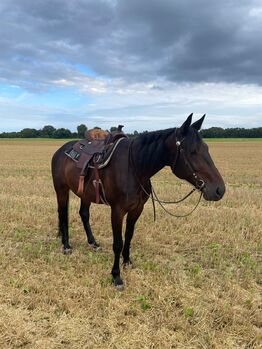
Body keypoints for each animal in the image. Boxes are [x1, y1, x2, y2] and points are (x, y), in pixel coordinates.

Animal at [51, 113, 225, 288]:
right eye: (192, 151)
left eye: (206, 148)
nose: (219, 190)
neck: (135, 167)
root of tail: (60, 151)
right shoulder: (117, 211)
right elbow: (118, 243)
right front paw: (116, 276)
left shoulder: (137, 209)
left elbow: (129, 236)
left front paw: (127, 262)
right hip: (62, 190)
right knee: (63, 214)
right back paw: (66, 246)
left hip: (85, 195)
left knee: (84, 214)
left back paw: (93, 243)